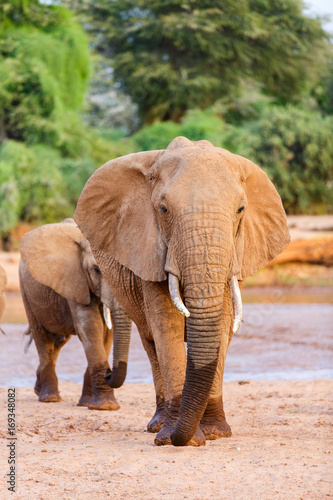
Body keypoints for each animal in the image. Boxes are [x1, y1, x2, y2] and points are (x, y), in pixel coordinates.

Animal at [19, 219, 131, 410]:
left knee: (57, 342)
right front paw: (106, 407)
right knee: (43, 339)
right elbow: (90, 328)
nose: (109, 374)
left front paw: (87, 404)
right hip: (26, 291)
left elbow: (106, 335)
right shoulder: (74, 279)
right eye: (96, 270)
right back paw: (49, 398)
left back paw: (38, 390)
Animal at [74, 136, 290, 446]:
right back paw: (159, 424)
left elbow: (222, 323)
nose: (107, 375)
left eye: (240, 210)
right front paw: (174, 439)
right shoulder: (150, 251)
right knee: (151, 342)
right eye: (163, 210)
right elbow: (167, 326)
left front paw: (214, 434)